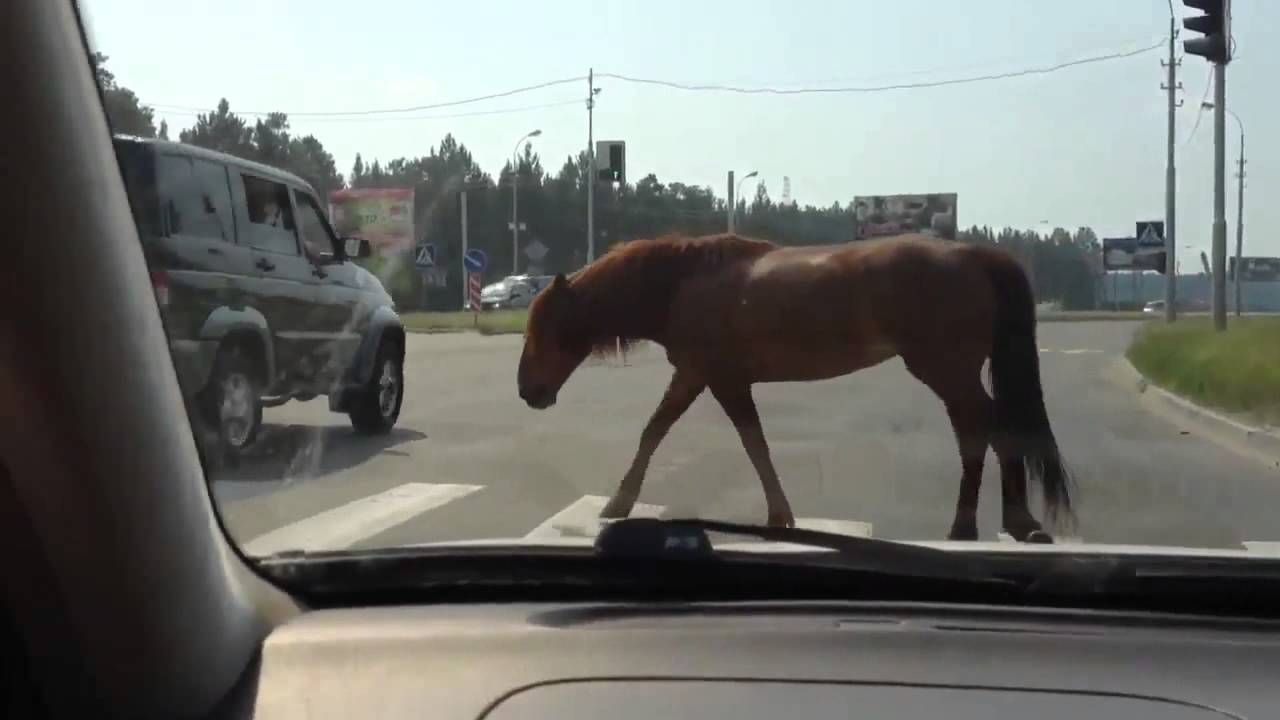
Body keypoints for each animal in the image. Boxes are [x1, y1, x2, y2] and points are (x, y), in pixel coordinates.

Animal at [517, 233, 1070, 540]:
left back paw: (996, 523)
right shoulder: (699, 376)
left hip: (945, 369)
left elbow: (738, 441)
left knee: (984, 427)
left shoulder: (719, 379)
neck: (682, 283)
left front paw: (616, 504)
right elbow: (674, 431)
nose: (528, 392)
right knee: (981, 428)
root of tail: (975, 255)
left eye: (544, 327)